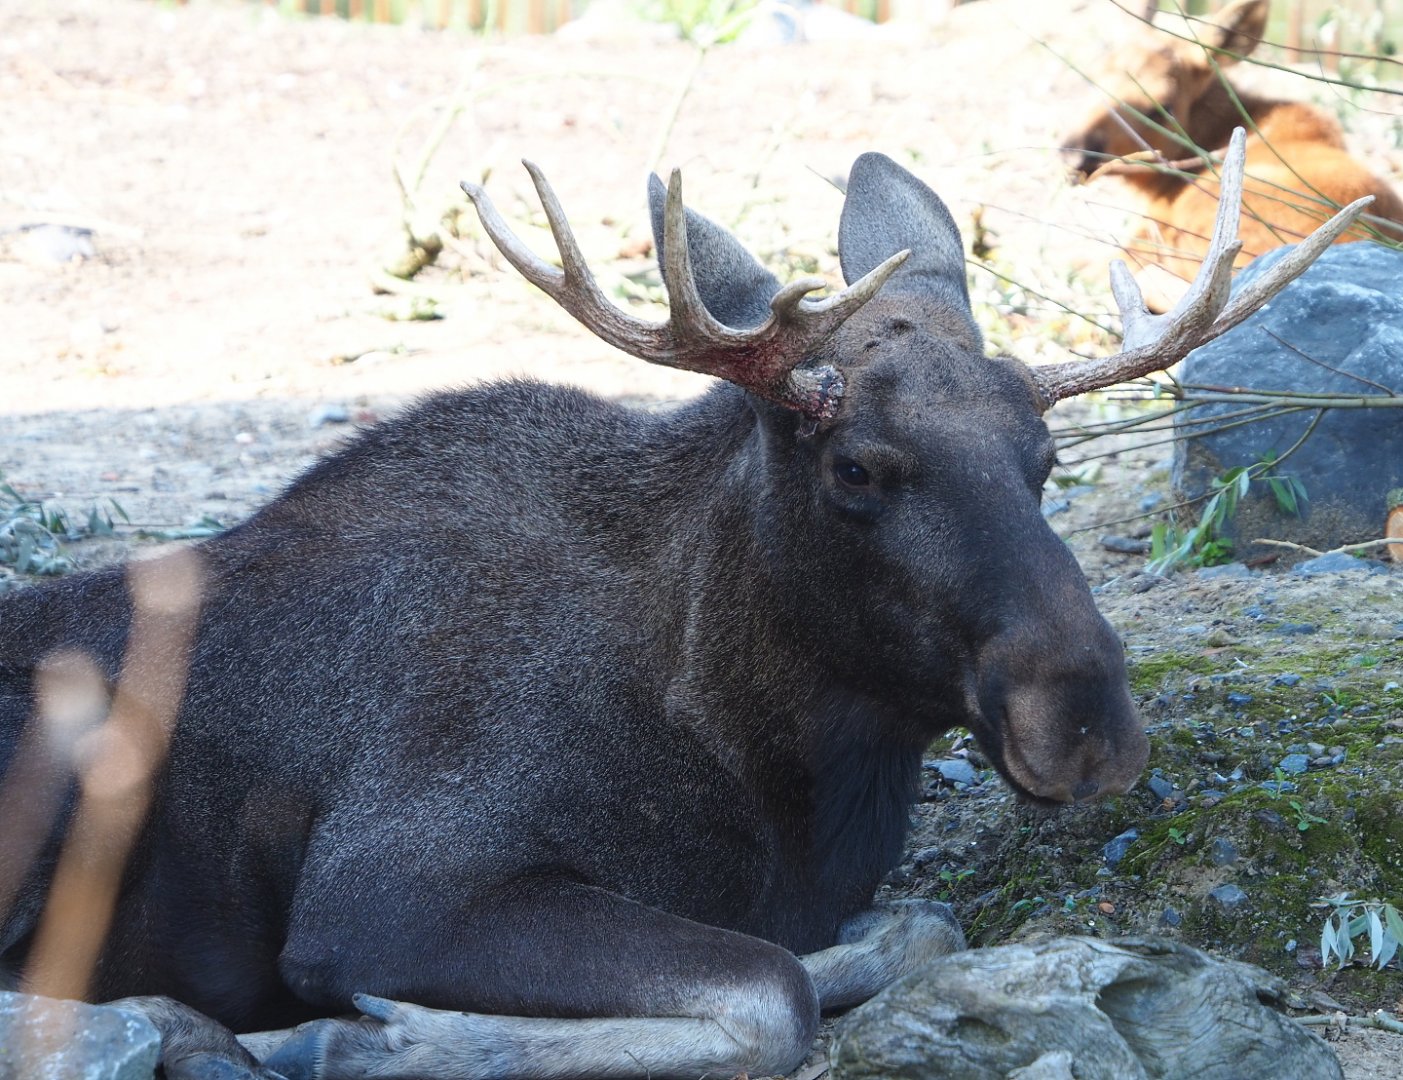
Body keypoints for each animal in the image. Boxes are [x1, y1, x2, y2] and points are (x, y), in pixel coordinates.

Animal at [0, 132, 1366, 1080]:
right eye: (854, 468)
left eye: (1043, 460)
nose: (1081, 720)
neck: (771, 758)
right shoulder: (387, 885)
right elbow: (770, 993)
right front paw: (365, 1039)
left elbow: (906, 929)